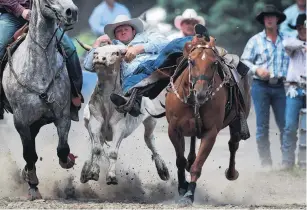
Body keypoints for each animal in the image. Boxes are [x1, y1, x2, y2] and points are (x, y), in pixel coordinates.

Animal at [2, 0, 78, 200]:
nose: (72, 12)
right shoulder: (21, 120)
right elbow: (29, 153)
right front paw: (33, 186)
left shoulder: (62, 115)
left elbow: (62, 148)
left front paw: (67, 161)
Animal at [165, 35, 251, 206]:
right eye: (191, 61)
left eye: (214, 63)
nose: (201, 93)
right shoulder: (173, 130)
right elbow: (180, 160)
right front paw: (182, 187)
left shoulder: (210, 133)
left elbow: (197, 166)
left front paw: (189, 195)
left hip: (237, 120)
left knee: (233, 144)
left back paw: (231, 173)